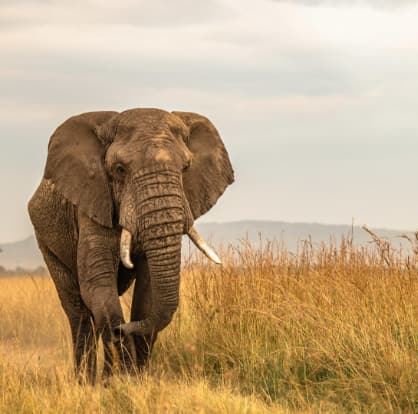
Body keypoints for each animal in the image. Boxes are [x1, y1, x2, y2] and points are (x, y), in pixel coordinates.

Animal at [27, 107, 233, 382]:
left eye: (186, 167)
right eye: (119, 169)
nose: (121, 330)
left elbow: (147, 294)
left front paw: (134, 378)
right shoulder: (92, 202)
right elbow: (98, 286)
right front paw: (121, 379)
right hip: (47, 242)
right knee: (79, 312)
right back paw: (85, 383)